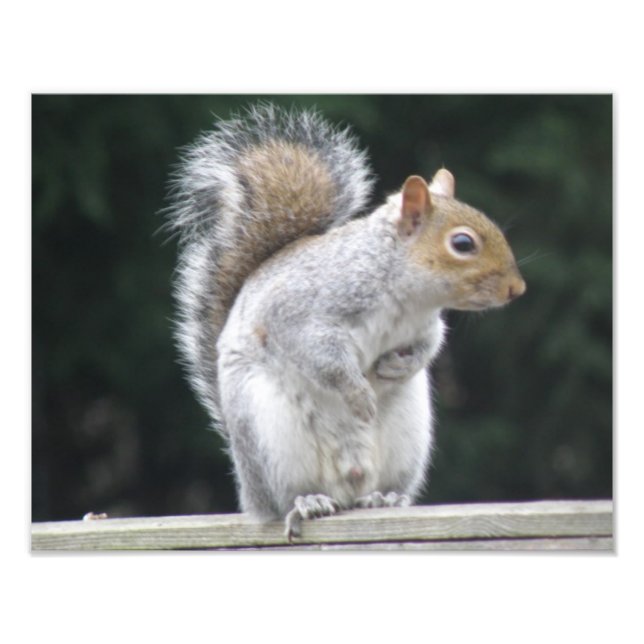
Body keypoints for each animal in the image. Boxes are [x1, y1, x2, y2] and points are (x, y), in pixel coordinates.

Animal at [166, 103, 526, 540]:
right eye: (462, 243)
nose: (517, 288)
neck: (406, 297)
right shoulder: (301, 313)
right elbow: (323, 357)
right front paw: (358, 395)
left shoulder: (425, 325)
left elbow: (430, 345)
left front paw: (399, 365)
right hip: (270, 434)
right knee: (287, 498)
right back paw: (308, 502)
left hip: (408, 433)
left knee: (374, 489)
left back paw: (384, 497)